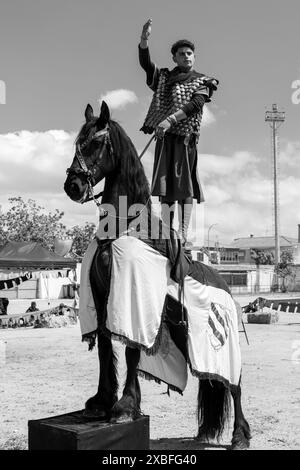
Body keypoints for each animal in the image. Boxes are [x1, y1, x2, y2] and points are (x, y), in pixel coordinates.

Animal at [63, 102, 251, 448]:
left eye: (95, 142)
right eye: (76, 143)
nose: (73, 186)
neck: (121, 229)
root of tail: (225, 286)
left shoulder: (134, 300)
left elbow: (131, 351)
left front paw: (125, 407)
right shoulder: (102, 299)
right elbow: (106, 349)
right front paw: (101, 402)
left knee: (235, 385)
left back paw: (240, 435)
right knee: (214, 382)